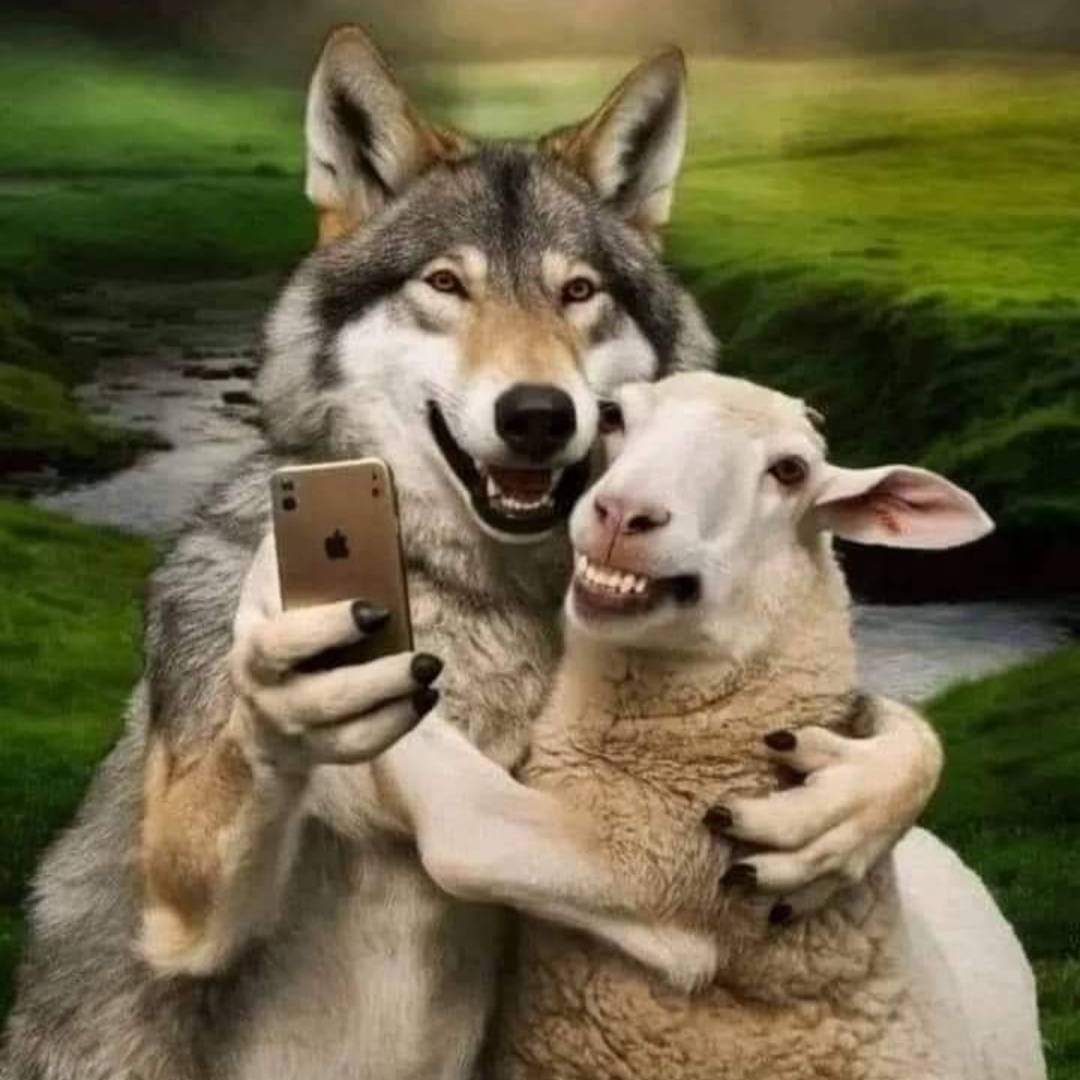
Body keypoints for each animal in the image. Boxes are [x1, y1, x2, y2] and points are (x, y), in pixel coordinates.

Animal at [2, 29, 955, 1080]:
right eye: (445, 285)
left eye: (577, 291)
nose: (538, 414)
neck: (478, 596)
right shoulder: (179, 917)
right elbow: (238, 791)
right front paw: (283, 709)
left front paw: (868, 789)